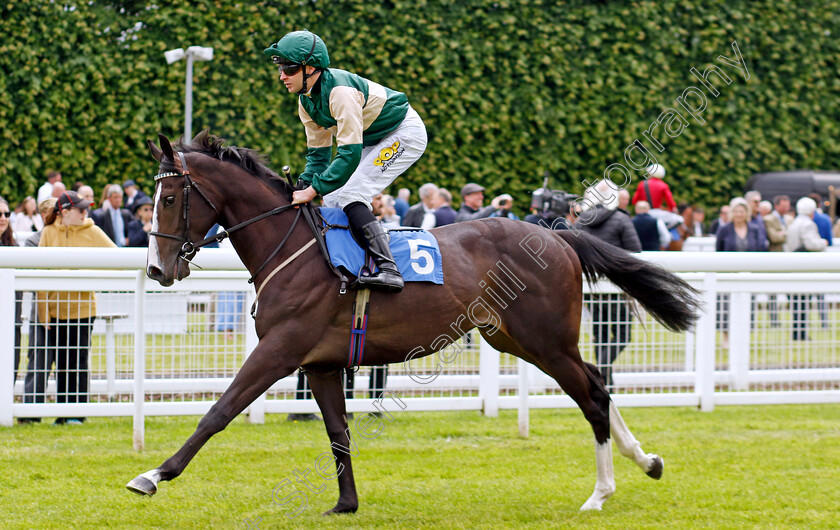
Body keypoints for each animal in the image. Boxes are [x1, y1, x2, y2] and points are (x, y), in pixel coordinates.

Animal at [126, 131, 704, 512]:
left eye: (170, 197)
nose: (157, 268)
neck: (291, 247)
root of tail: (556, 234)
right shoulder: (320, 362)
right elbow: (337, 429)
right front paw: (347, 503)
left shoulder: (281, 349)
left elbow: (217, 412)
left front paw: (153, 474)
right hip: (516, 338)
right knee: (597, 383)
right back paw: (646, 461)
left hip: (546, 338)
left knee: (592, 394)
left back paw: (600, 493)